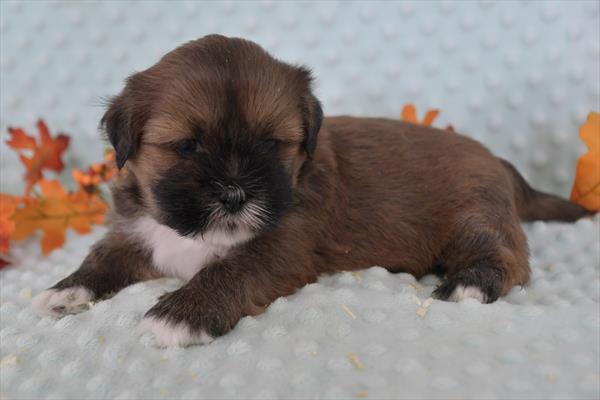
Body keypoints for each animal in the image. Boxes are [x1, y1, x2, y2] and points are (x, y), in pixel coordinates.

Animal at [31, 35, 592, 346]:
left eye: (271, 144)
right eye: (188, 146)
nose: (234, 194)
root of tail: (498, 160)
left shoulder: (279, 246)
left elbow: (228, 270)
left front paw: (180, 315)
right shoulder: (138, 232)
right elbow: (104, 256)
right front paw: (68, 288)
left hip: (476, 214)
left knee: (505, 257)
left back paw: (469, 283)